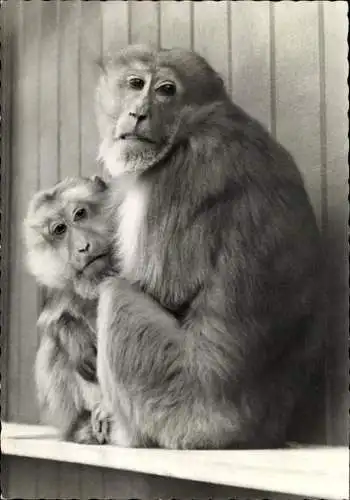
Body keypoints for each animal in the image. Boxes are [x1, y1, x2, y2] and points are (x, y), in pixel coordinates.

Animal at [23, 175, 114, 442]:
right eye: (60, 230)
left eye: (80, 214)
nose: (83, 247)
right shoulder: (63, 288)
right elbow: (53, 320)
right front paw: (74, 337)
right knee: (54, 347)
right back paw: (81, 426)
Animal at [94, 44, 324, 450]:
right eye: (135, 83)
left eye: (165, 90)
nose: (138, 113)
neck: (191, 124)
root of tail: (255, 434)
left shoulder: (176, 177)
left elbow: (163, 290)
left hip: (179, 404)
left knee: (115, 297)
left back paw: (128, 434)